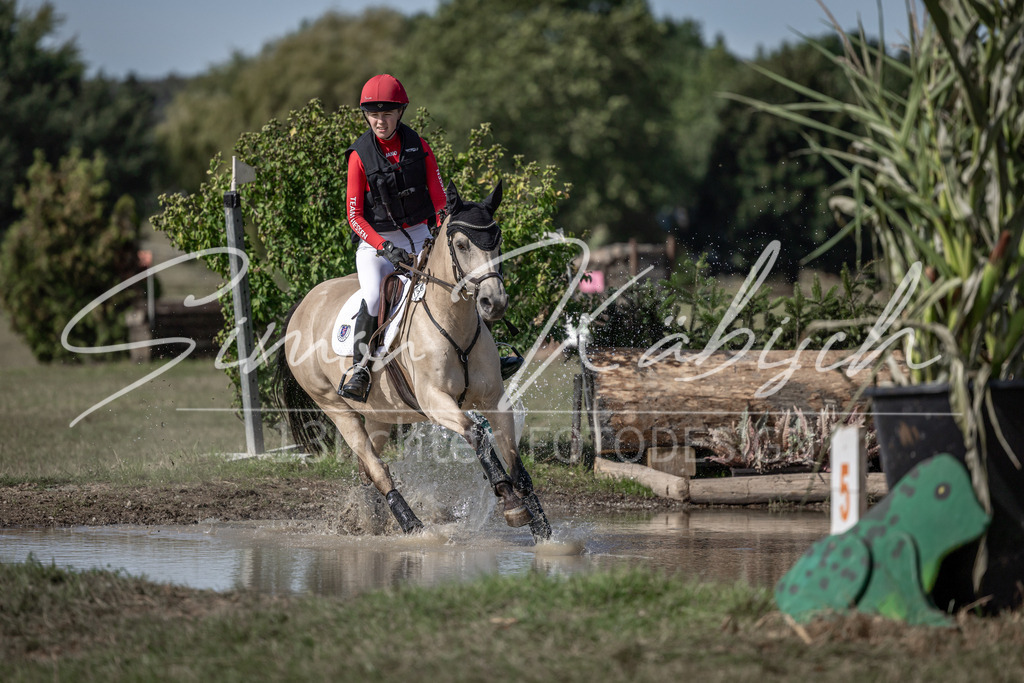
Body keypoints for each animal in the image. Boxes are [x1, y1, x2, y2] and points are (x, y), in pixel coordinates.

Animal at [272, 180, 552, 543]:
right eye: (462, 245)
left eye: (499, 240)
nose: (495, 302)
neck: (453, 320)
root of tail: (303, 304)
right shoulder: (435, 401)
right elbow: (477, 435)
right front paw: (511, 504)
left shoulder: (494, 400)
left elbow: (517, 465)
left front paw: (544, 530)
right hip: (333, 405)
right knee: (375, 466)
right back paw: (412, 526)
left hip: (379, 413)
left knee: (366, 468)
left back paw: (370, 519)